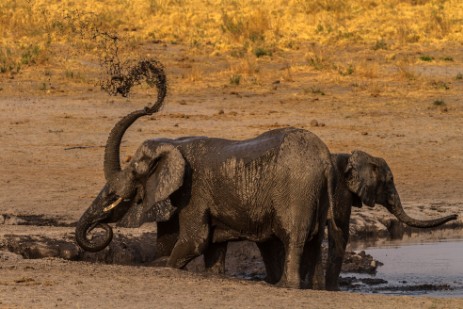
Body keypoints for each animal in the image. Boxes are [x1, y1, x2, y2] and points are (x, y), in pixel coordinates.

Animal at [74, 63, 344, 288]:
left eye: (132, 172)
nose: (150, 105)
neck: (174, 143)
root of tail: (325, 160)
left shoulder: (194, 192)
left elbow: (194, 241)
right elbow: (212, 248)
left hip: (297, 192)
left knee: (294, 239)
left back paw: (284, 286)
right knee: (313, 243)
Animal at [154, 150, 458, 290]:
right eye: (389, 182)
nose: (455, 214)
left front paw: (323, 288)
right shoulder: (341, 193)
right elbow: (339, 234)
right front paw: (332, 289)